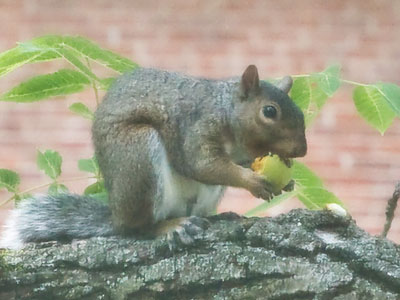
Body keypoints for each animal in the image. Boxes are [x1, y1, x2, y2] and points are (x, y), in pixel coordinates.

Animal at [0, 65, 306, 251]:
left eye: (301, 112)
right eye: (269, 111)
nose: (301, 150)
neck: (226, 109)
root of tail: (117, 215)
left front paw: (287, 179)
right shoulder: (197, 128)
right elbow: (203, 164)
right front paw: (253, 181)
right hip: (139, 155)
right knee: (139, 228)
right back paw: (170, 226)